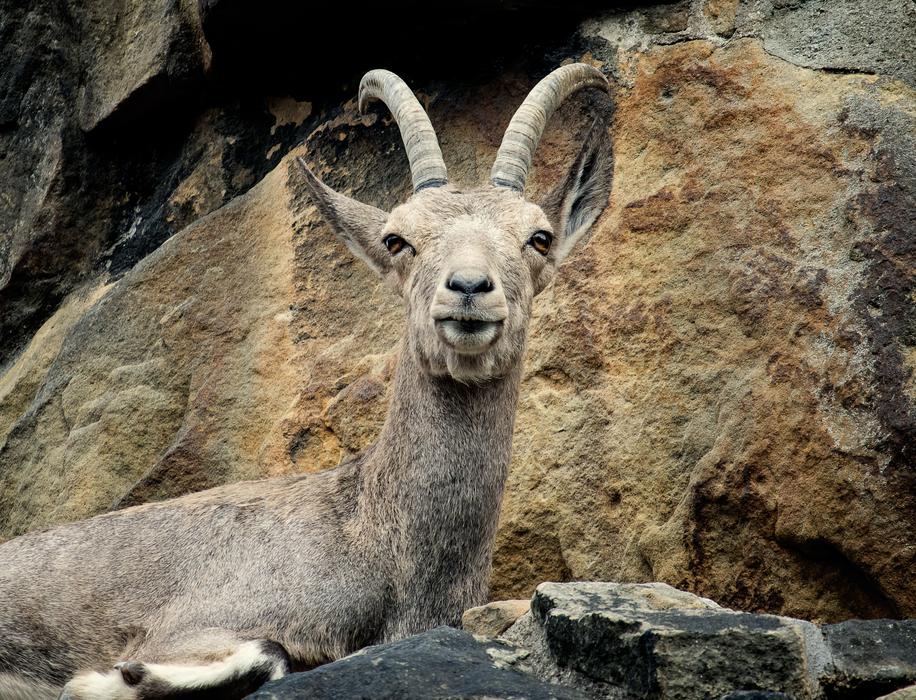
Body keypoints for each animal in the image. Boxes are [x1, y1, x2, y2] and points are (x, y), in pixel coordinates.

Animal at [0, 63, 613, 700]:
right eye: (397, 239)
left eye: (539, 237)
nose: (468, 288)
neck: (372, 535)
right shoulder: (198, 618)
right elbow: (268, 652)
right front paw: (111, 678)